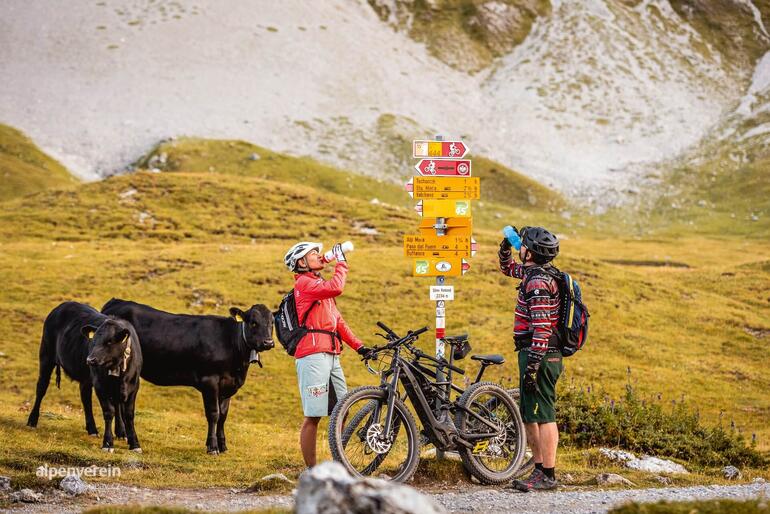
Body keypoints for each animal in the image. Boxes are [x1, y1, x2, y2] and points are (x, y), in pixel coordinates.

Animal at [27, 302, 144, 450]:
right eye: (92, 341)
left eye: (109, 342)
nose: (90, 360)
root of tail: (62, 305)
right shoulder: (100, 384)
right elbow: (108, 411)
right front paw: (108, 443)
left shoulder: (134, 385)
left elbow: (128, 414)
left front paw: (134, 443)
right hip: (46, 356)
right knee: (41, 387)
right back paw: (32, 420)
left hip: (85, 377)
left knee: (86, 398)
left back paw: (99, 430)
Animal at [99, 296, 272, 452]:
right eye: (253, 322)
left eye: (271, 323)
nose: (268, 342)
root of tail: (117, 301)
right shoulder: (210, 381)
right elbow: (214, 414)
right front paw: (212, 446)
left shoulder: (228, 385)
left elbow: (223, 416)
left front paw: (223, 446)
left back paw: (122, 433)